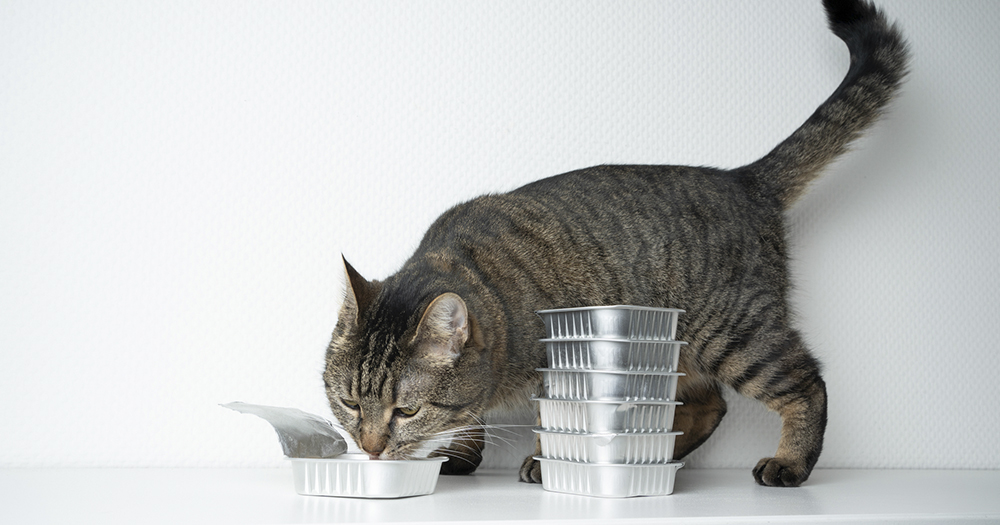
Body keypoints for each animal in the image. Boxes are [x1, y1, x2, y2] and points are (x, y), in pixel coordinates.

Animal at [322, 0, 908, 486]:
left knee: (807, 382)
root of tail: (744, 179)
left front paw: (546, 461)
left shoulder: (557, 362)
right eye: (350, 402)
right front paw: (460, 454)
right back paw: (659, 456)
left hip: (739, 335)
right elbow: (468, 417)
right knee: (709, 407)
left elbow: (547, 419)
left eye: (406, 411)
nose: (370, 449)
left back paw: (790, 462)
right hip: (683, 349)